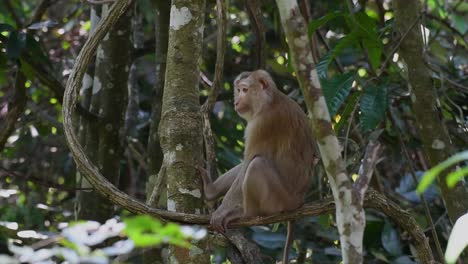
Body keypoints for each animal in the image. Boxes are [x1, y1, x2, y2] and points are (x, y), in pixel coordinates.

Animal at [199, 69, 316, 262]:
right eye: (238, 90)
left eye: (245, 90)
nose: (236, 101)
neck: (269, 101)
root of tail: (299, 201)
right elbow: (244, 165)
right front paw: (212, 193)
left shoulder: (263, 124)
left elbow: (249, 161)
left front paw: (221, 211)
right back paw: (211, 190)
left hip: (281, 199)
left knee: (256, 164)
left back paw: (248, 213)